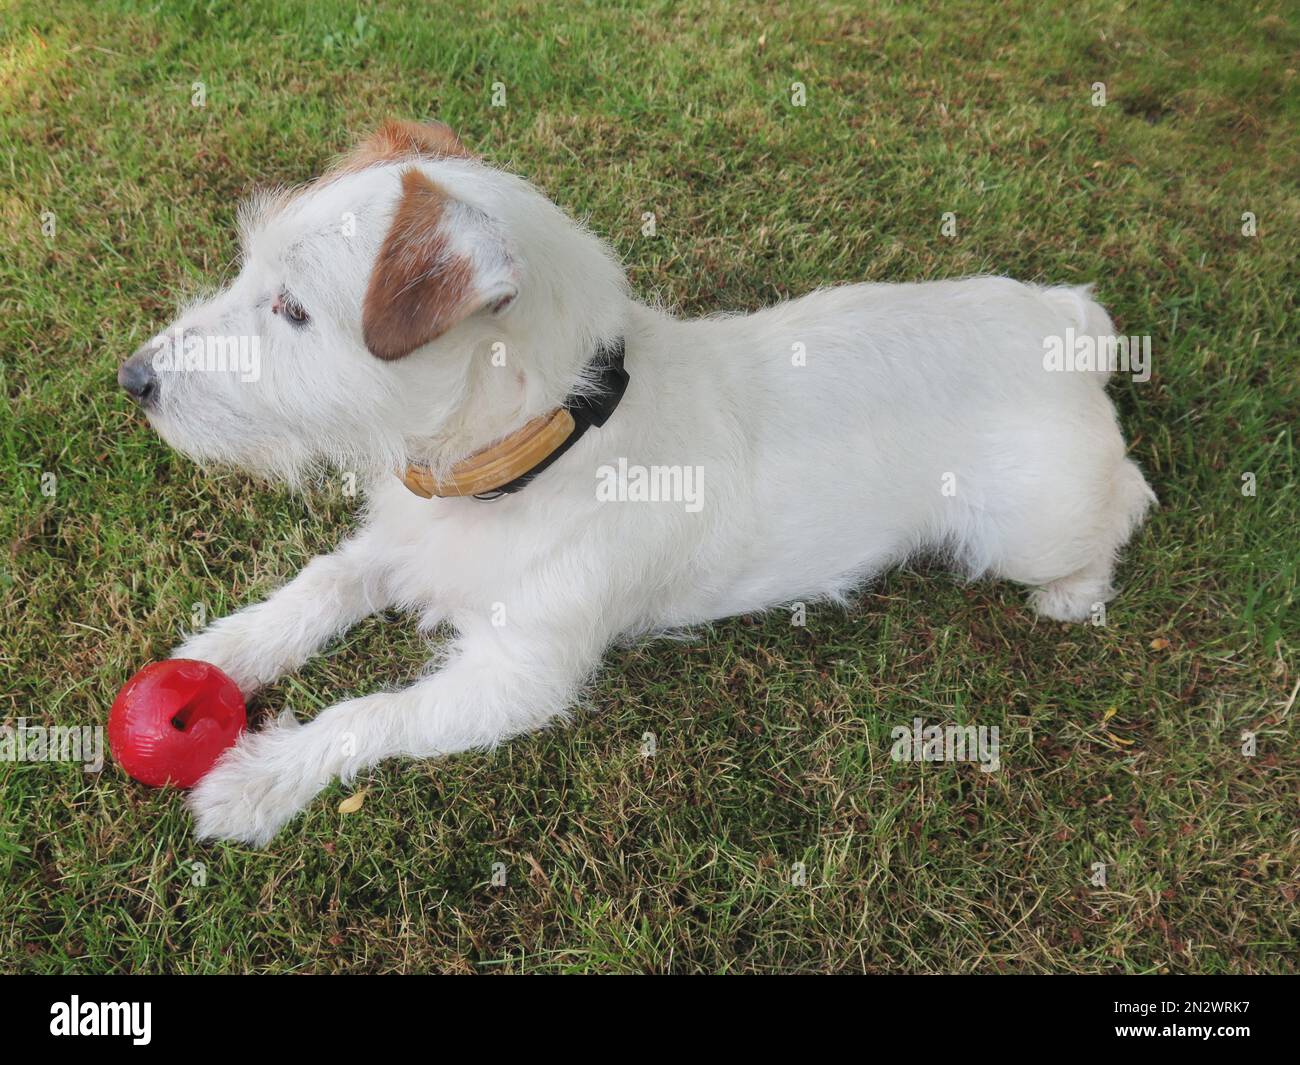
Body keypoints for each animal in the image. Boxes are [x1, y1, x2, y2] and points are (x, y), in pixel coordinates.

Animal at [119, 120, 1159, 847]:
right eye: (252, 270)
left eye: (294, 310)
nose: (134, 380)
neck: (533, 451)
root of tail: (1064, 323)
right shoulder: (397, 545)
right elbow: (317, 587)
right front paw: (224, 653)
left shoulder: (516, 678)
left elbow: (369, 712)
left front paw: (259, 778)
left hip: (1030, 527)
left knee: (1130, 498)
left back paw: (1076, 593)